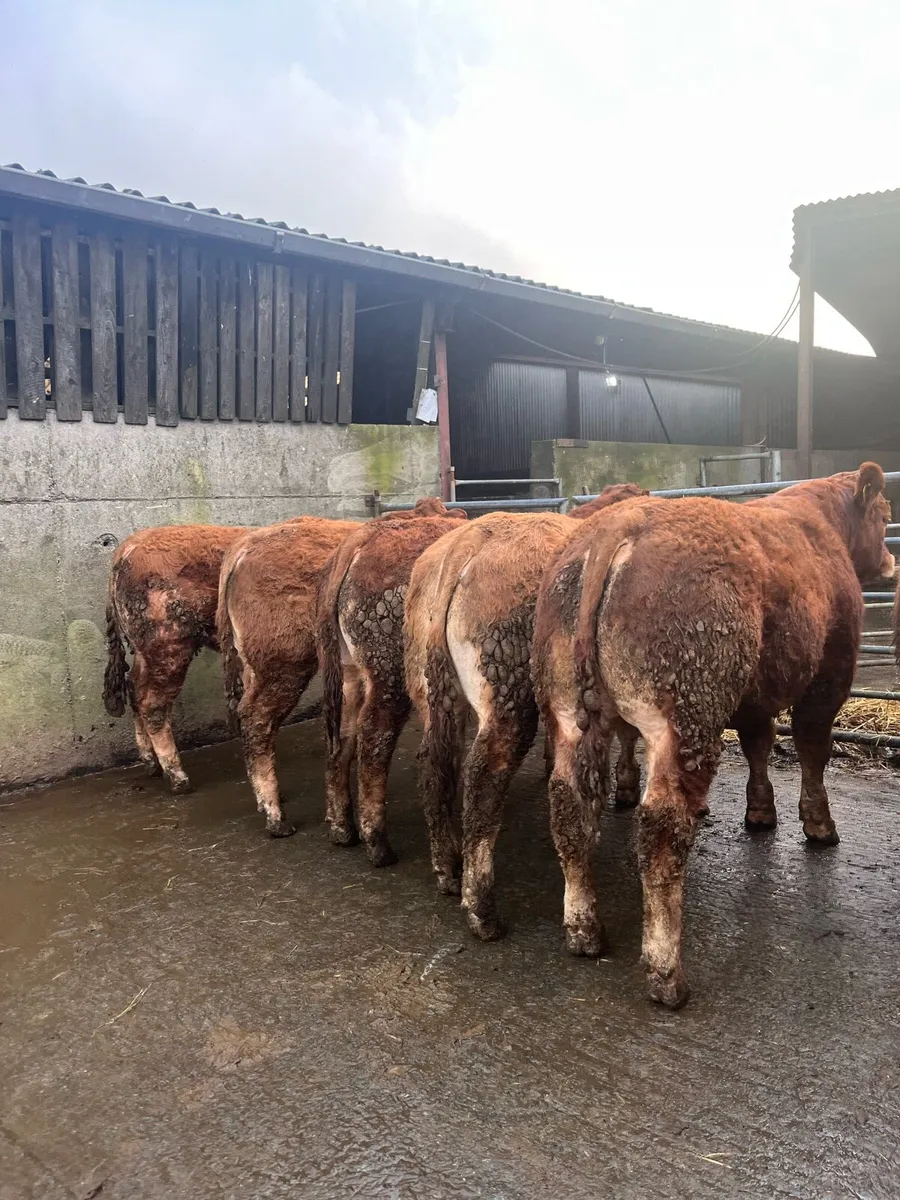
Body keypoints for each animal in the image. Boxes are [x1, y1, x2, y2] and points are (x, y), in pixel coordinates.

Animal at [103, 524, 249, 793]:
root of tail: (126, 549)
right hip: (168, 645)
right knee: (153, 702)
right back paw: (178, 778)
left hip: (145, 649)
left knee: (134, 687)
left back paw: (151, 766)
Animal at [316, 500, 468, 866]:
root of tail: (361, 539)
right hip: (390, 676)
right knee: (374, 738)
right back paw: (378, 844)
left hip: (350, 674)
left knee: (341, 737)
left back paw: (342, 829)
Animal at [403, 484, 648, 942]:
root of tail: (468, 544)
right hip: (507, 683)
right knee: (482, 778)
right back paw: (482, 911)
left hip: (431, 689)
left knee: (434, 764)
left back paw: (446, 867)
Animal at [532, 464, 894, 1009]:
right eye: (886, 515)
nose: (892, 562)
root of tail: (614, 528)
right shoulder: (829, 673)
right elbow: (812, 747)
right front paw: (819, 825)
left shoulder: (755, 694)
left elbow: (758, 743)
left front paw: (761, 813)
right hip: (686, 713)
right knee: (661, 828)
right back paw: (666, 973)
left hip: (569, 710)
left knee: (568, 804)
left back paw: (584, 930)